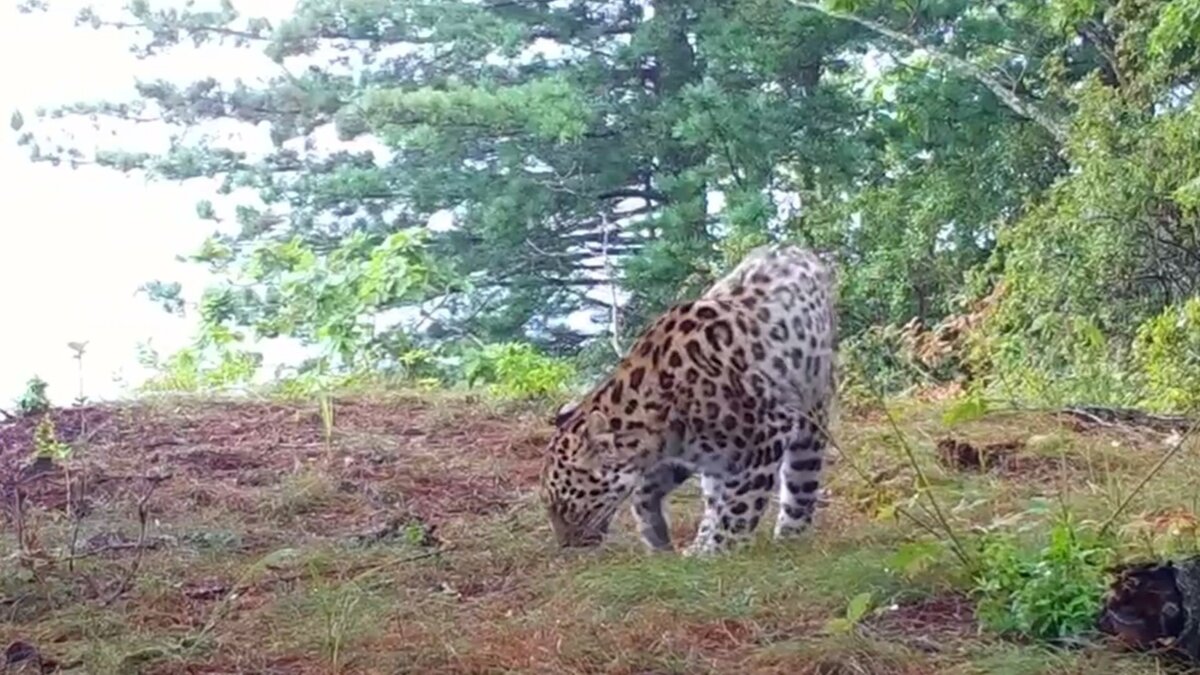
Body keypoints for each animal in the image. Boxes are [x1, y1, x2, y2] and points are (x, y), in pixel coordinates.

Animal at [540, 243, 840, 554]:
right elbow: (646, 491)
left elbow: (739, 508)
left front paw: (718, 551)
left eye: (566, 507)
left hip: (811, 410)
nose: (565, 545)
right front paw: (658, 538)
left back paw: (791, 534)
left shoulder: (768, 433)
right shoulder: (686, 453)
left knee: (801, 480)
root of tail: (793, 247)